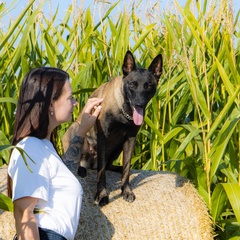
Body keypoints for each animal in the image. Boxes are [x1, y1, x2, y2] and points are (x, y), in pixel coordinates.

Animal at [62, 49, 163, 205]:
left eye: (148, 86)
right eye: (132, 84)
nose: (139, 104)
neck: (124, 112)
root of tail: (89, 163)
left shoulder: (130, 139)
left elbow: (126, 168)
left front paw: (126, 190)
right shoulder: (103, 137)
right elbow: (101, 171)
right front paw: (102, 194)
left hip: (117, 147)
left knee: (109, 165)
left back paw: (117, 168)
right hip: (76, 128)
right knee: (81, 162)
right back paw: (81, 169)